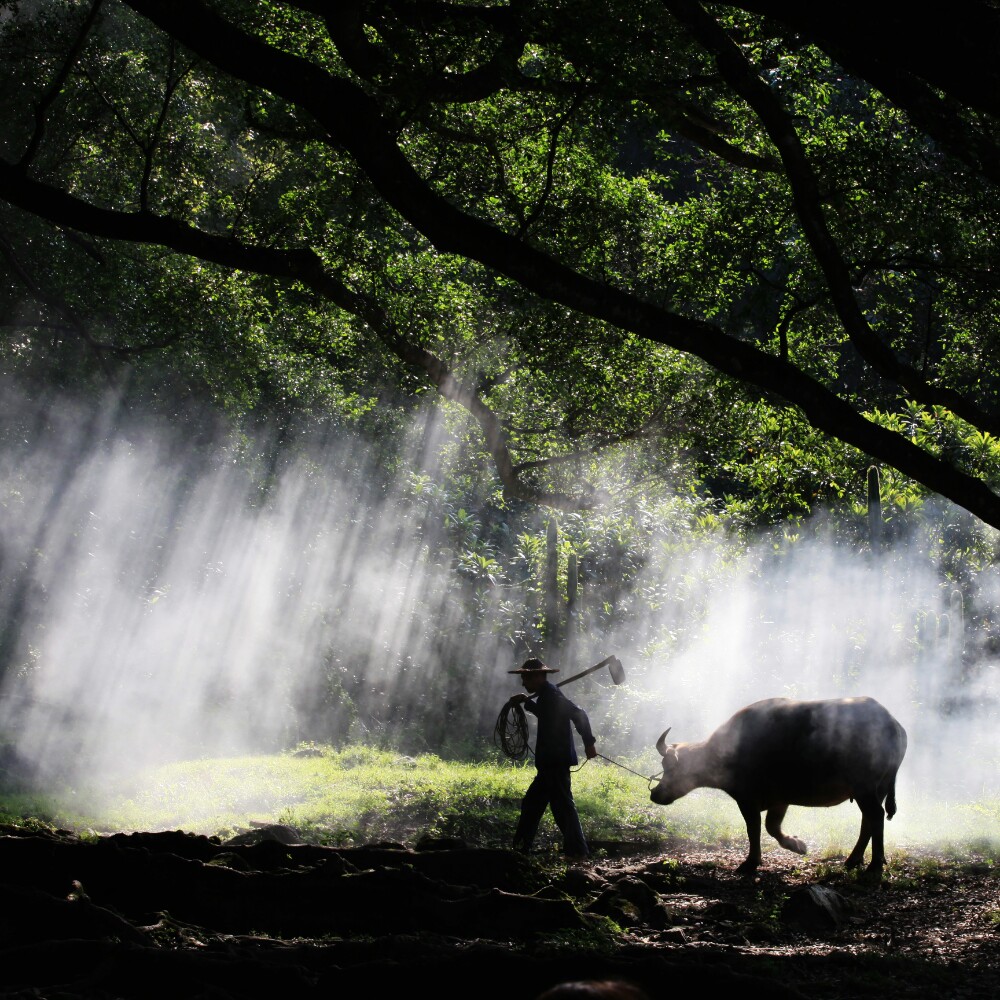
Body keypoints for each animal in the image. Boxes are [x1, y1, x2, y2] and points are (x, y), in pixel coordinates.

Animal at [648, 696, 908, 876]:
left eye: (670, 767)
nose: (655, 794)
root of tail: (894, 725)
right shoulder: (779, 800)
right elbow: (772, 827)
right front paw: (798, 845)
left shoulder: (747, 799)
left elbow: (754, 829)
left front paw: (750, 862)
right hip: (874, 790)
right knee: (868, 821)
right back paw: (854, 860)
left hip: (865, 788)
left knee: (875, 816)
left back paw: (874, 865)